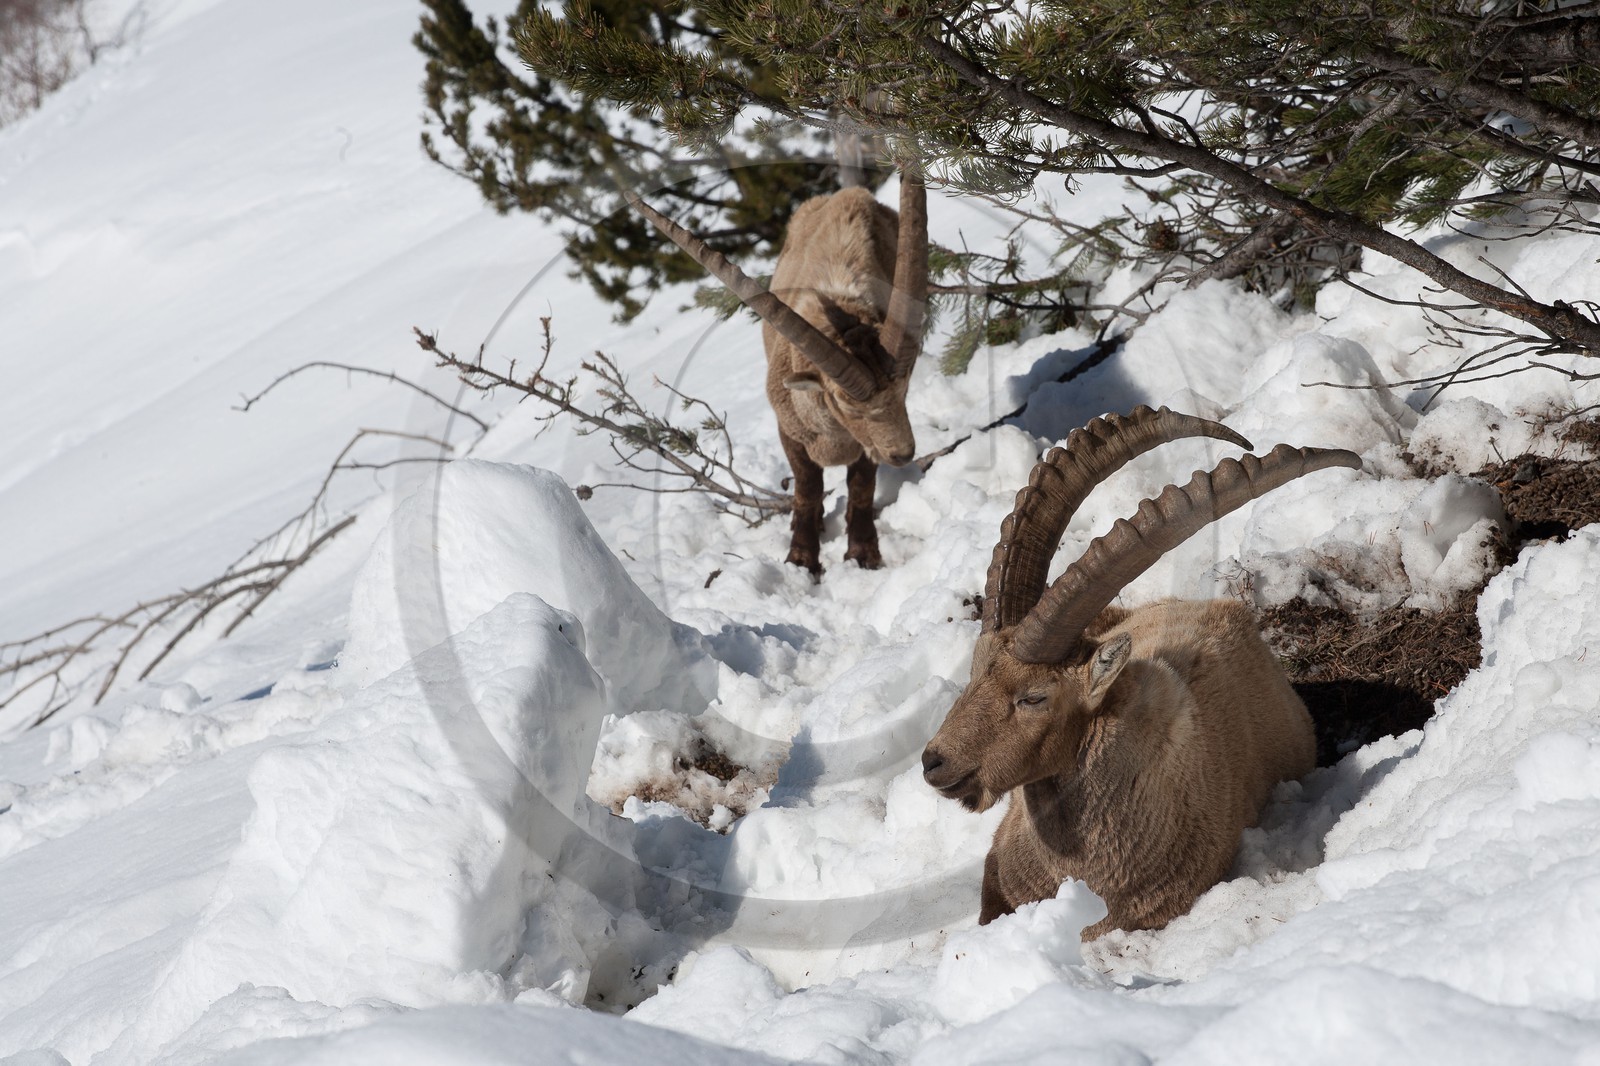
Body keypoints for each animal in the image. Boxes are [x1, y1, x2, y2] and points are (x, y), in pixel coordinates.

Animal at [623, 171, 927, 575]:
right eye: (846, 403)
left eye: (904, 387)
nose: (903, 453)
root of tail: (851, 194)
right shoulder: (791, 430)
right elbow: (807, 487)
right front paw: (802, 560)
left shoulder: (866, 441)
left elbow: (861, 484)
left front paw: (862, 553)